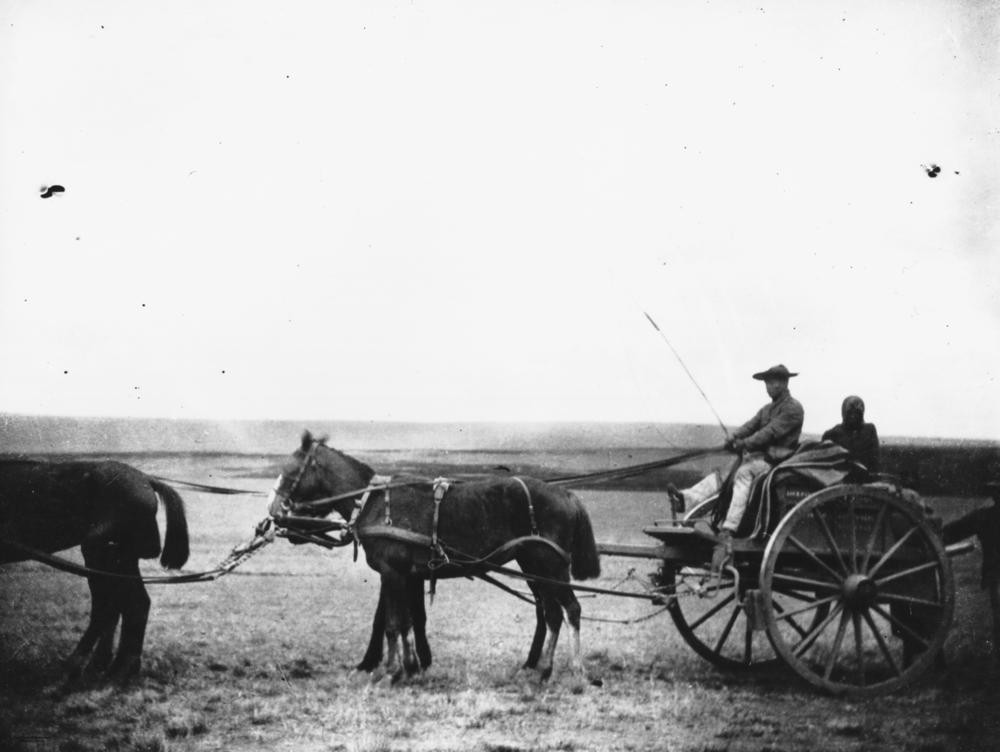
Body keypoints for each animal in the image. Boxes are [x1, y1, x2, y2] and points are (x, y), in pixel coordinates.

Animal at [0, 458, 188, 680]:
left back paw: (85, 664)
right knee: (135, 603)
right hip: (121, 559)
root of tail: (145, 479)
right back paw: (119, 665)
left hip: (98, 553)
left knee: (107, 606)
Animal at [268, 428, 600, 680]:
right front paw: (409, 666)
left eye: (291, 471)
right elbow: (405, 621)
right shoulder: (405, 574)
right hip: (535, 566)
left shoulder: (392, 571)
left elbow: (392, 623)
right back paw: (542, 670)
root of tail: (566, 494)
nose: (274, 511)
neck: (373, 503)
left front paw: (391, 670)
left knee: (571, 610)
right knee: (552, 613)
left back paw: (575, 671)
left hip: (550, 565)